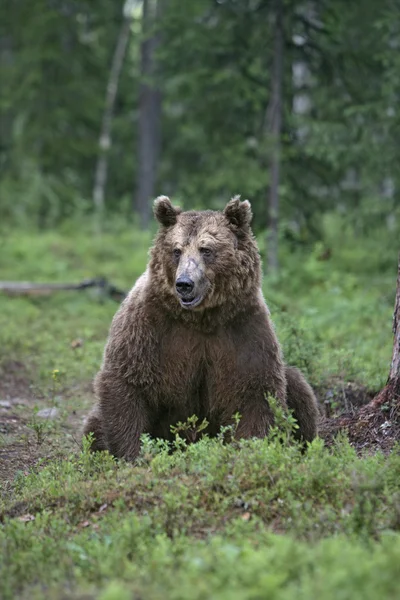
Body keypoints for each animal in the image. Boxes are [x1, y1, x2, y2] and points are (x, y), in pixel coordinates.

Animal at [84, 197, 318, 460]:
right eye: (176, 250)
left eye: (206, 249)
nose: (184, 284)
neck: (201, 318)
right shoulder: (149, 327)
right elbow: (127, 382)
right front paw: (134, 453)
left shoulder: (243, 329)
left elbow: (256, 392)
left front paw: (249, 450)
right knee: (93, 426)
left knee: (298, 388)